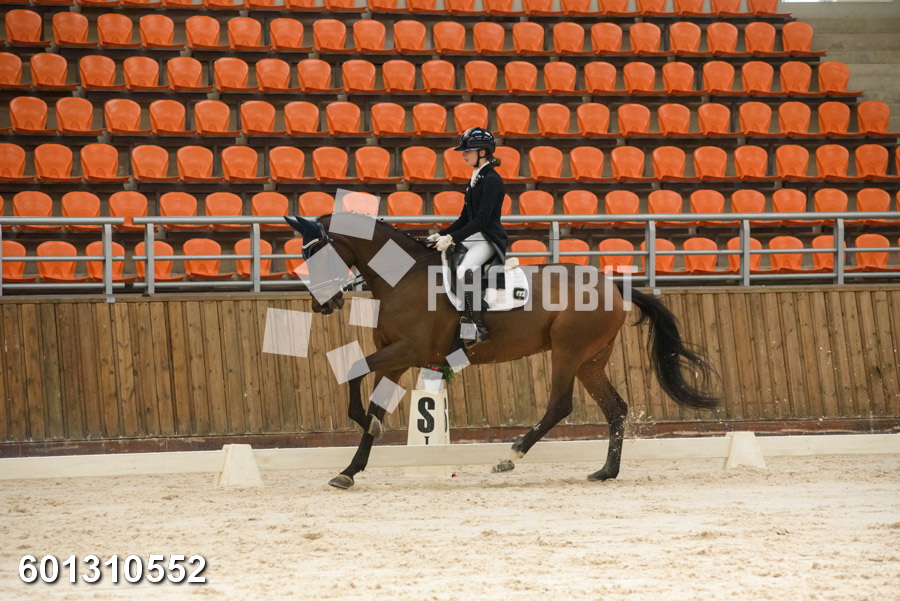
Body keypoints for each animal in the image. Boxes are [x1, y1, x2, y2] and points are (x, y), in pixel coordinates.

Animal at [285, 214, 719, 489]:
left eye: (316, 252)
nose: (323, 305)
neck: (402, 279)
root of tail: (613, 285)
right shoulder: (394, 357)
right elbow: (371, 399)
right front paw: (350, 469)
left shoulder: (407, 351)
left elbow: (354, 370)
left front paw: (365, 433)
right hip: (591, 361)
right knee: (616, 409)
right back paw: (604, 472)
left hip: (568, 352)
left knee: (560, 405)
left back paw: (510, 456)